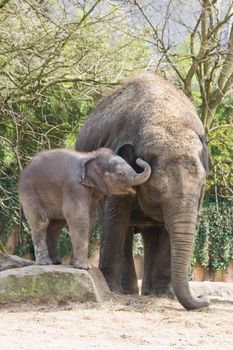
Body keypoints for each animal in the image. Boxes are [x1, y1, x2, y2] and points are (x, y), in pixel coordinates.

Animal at [18, 148, 151, 268]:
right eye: (120, 174)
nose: (139, 159)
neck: (91, 156)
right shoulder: (74, 187)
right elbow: (79, 218)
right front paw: (85, 267)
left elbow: (90, 220)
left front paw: (74, 264)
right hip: (30, 192)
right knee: (41, 222)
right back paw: (45, 263)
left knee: (56, 226)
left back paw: (56, 262)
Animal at [76, 73, 209, 308]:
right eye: (156, 189)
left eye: (202, 185)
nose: (205, 298)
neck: (166, 118)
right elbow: (116, 218)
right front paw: (111, 290)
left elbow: (168, 229)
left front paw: (162, 295)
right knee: (123, 227)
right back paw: (126, 291)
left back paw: (148, 293)